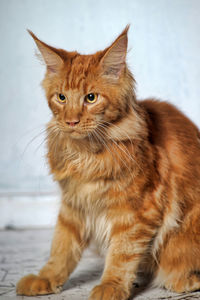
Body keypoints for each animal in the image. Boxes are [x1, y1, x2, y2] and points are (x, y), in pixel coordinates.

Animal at [16, 26, 200, 300]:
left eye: (91, 98)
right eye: (61, 98)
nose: (71, 121)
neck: (86, 155)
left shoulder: (136, 213)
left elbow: (121, 254)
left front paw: (111, 286)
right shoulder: (74, 206)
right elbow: (61, 248)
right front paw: (46, 278)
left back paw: (184, 280)